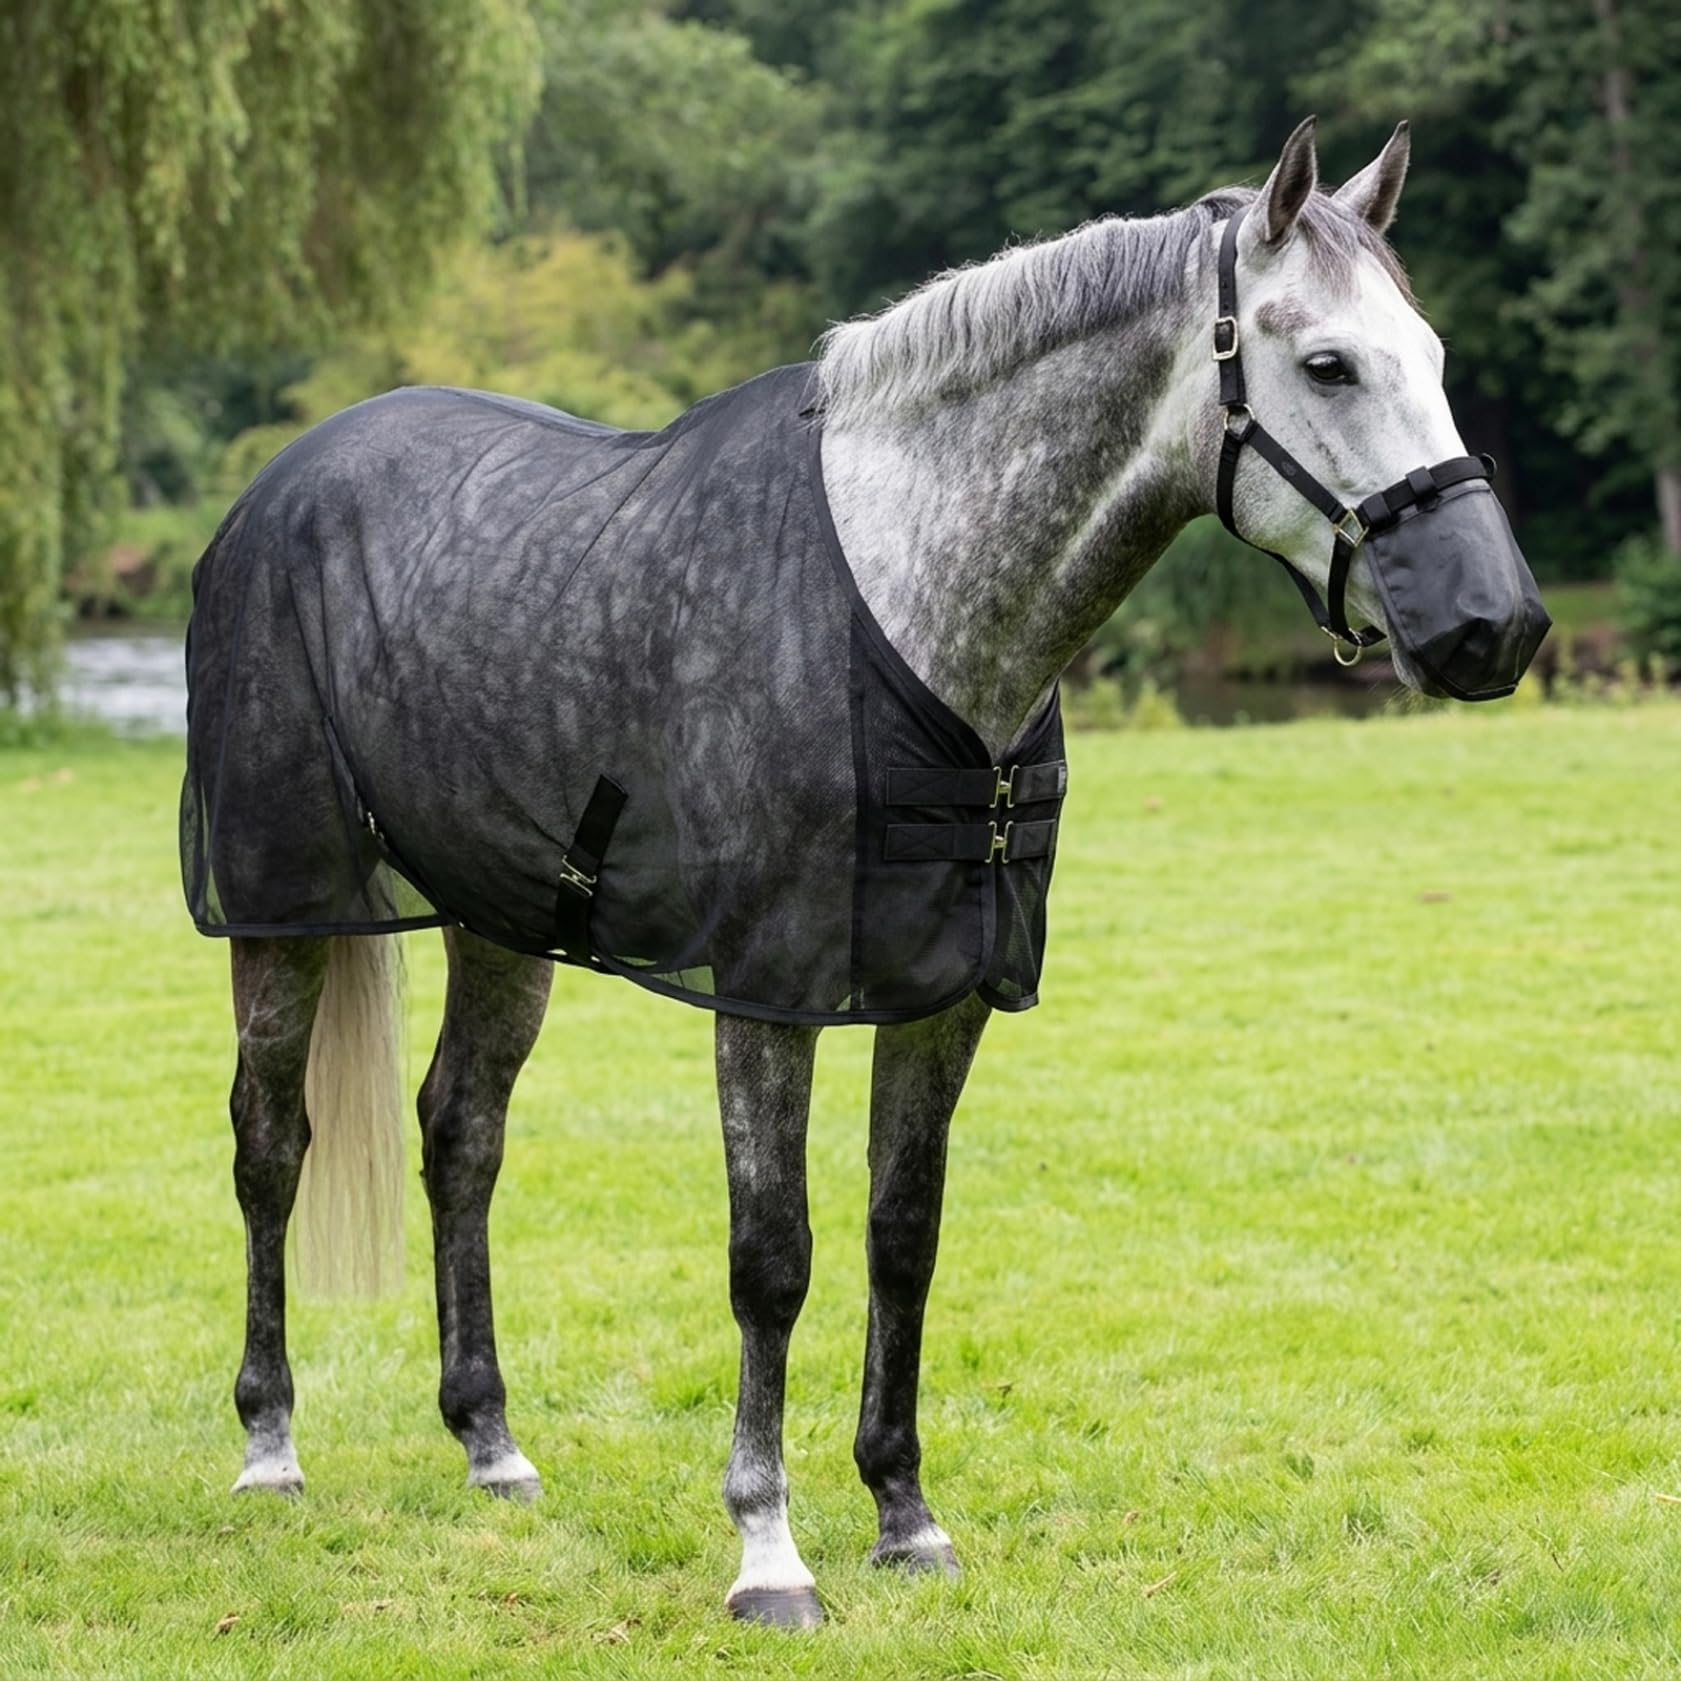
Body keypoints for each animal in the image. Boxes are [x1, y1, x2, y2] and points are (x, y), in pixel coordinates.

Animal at [182, 118, 1549, 1628]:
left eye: (1430, 354)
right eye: (1328, 365)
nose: (1495, 624)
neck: (907, 607)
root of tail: (278, 485)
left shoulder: (945, 994)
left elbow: (905, 1235)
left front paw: (904, 1514)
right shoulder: (770, 995)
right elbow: (772, 1259)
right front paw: (768, 1549)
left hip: (501, 921)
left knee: (459, 1135)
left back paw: (490, 1442)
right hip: (280, 908)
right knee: (270, 1142)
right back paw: (268, 1446)